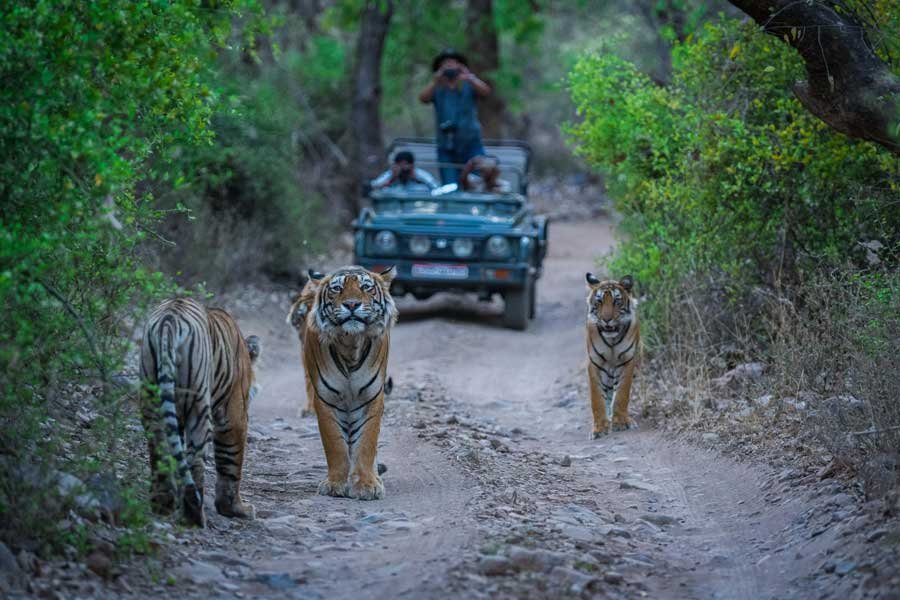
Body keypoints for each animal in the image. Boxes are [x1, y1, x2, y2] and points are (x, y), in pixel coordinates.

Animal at [139, 298, 261, 526]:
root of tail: (170, 319)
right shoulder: (234, 416)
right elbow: (231, 462)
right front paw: (235, 509)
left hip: (151, 399)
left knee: (160, 451)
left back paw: (163, 505)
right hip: (199, 406)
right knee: (194, 459)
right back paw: (194, 516)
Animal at [303, 265, 398, 500]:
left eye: (366, 287)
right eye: (337, 289)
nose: (352, 304)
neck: (350, 344)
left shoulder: (372, 397)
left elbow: (366, 443)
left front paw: (366, 485)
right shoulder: (325, 399)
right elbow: (335, 444)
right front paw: (335, 484)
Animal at [585, 273, 639, 438]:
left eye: (616, 301)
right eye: (599, 301)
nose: (606, 319)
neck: (612, 340)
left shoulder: (627, 362)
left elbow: (622, 394)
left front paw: (620, 422)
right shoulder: (594, 363)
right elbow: (596, 398)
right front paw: (599, 428)